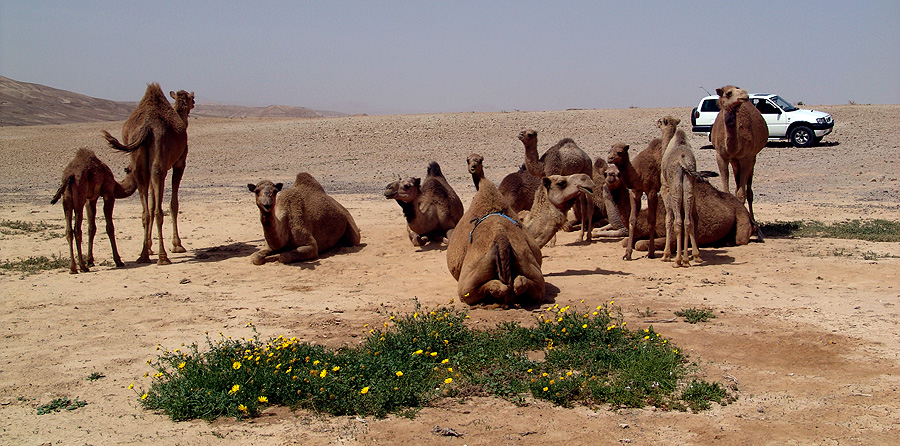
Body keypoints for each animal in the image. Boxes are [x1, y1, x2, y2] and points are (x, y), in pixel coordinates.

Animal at [101, 83, 194, 264]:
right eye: (191, 97)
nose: (193, 103)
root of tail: (147, 127)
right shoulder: (180, 163)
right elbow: (173, 204)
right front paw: (177, 245)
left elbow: (150, 205)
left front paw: (150, 247)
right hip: (159, 164)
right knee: (158, 210)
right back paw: (163, 257)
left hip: (139, 165)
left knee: (145, 211)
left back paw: (144, 255)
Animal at [608, 116, 680, 262]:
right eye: (609, 150)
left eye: (619, 152)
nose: (609, 158)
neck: (637, 174)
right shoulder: (636, 191)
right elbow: (632, 220)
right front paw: (627, 254)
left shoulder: (651, 191)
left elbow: (651, 221)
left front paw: (651, 252)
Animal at [660, 125, 704, 264]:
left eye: (660, 123)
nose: (657, 123)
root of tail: (682, 161)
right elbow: (692, 219)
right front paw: (695, 255)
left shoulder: (665, 189)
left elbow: (668, 219)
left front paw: (666, 254)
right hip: (689, 187)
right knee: (688, 221)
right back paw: (686, 260)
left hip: (675, 189)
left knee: (678, 221)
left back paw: (678, 261)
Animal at [712, 84, 768, 240]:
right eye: (728, 93)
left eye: (739, 89)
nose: (745, 95)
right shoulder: (721, 156)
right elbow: (726, 191)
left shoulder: (746, 157)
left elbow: (742, 194)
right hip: (734, 161)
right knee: (738, 183)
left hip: (752, 158)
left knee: (749, 191)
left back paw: (756, 228)